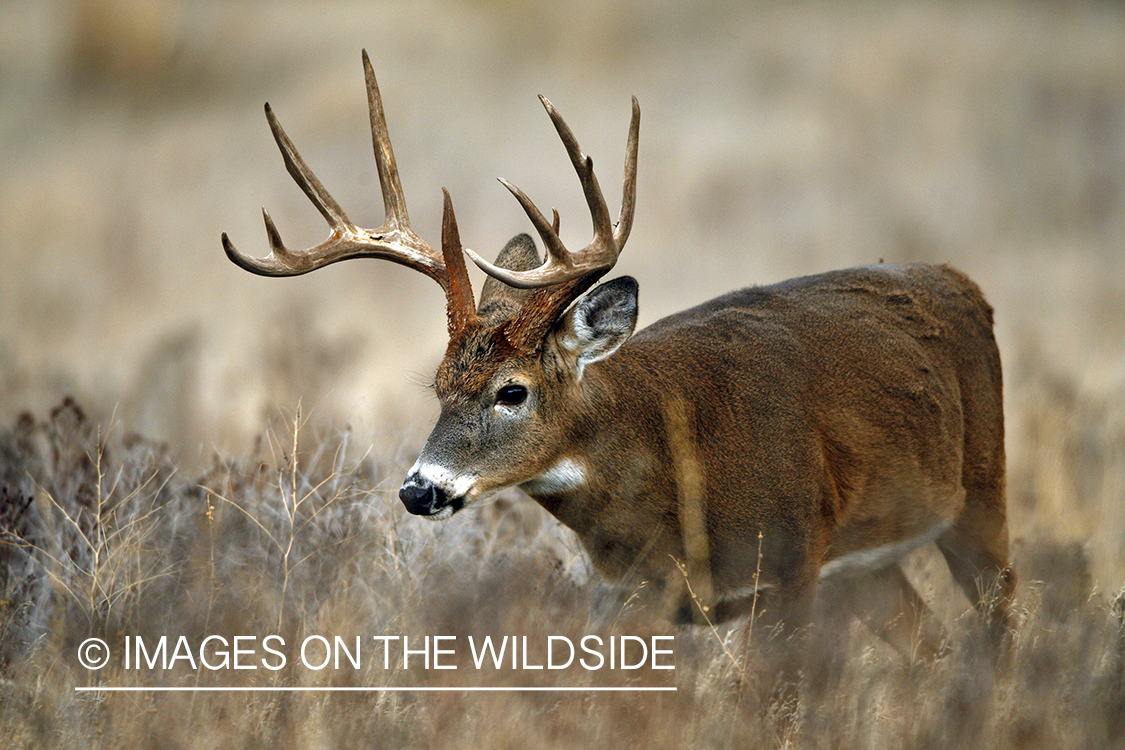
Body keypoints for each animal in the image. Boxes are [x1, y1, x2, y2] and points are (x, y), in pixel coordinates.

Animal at [223, 51, 1015, 667]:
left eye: (512, 391)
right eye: (439, 386)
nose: (420, 491)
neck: (671, 471)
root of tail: (959, 279)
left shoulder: (789, 567)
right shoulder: (635, 598)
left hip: (981, 492)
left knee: (998, 623)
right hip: (868, 566)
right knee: (930, 643)